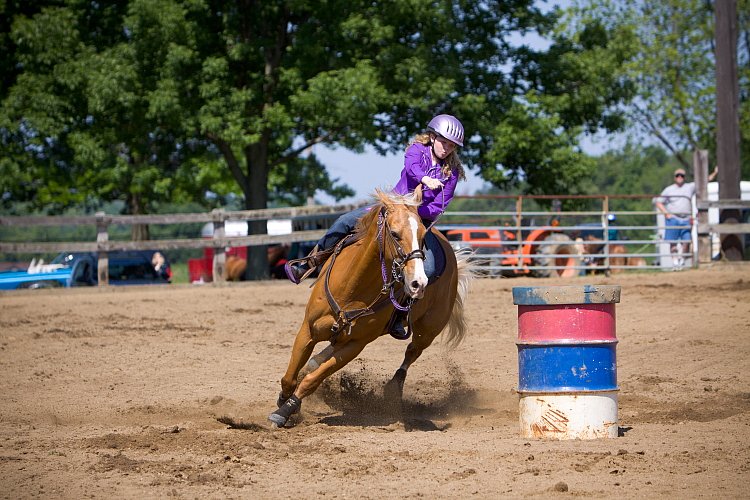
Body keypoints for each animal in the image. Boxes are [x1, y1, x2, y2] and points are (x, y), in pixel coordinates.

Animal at [268, 189, 470, 428]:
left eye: (422, 237)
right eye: (395, 234)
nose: (419, 283)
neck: (352, 287)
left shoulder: (356, 345)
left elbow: (312, 379)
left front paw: (285, 410)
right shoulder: (308, 329)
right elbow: (290, 377)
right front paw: (284, 401)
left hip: (429, 328)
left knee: (412, 351)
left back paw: (394, 386)